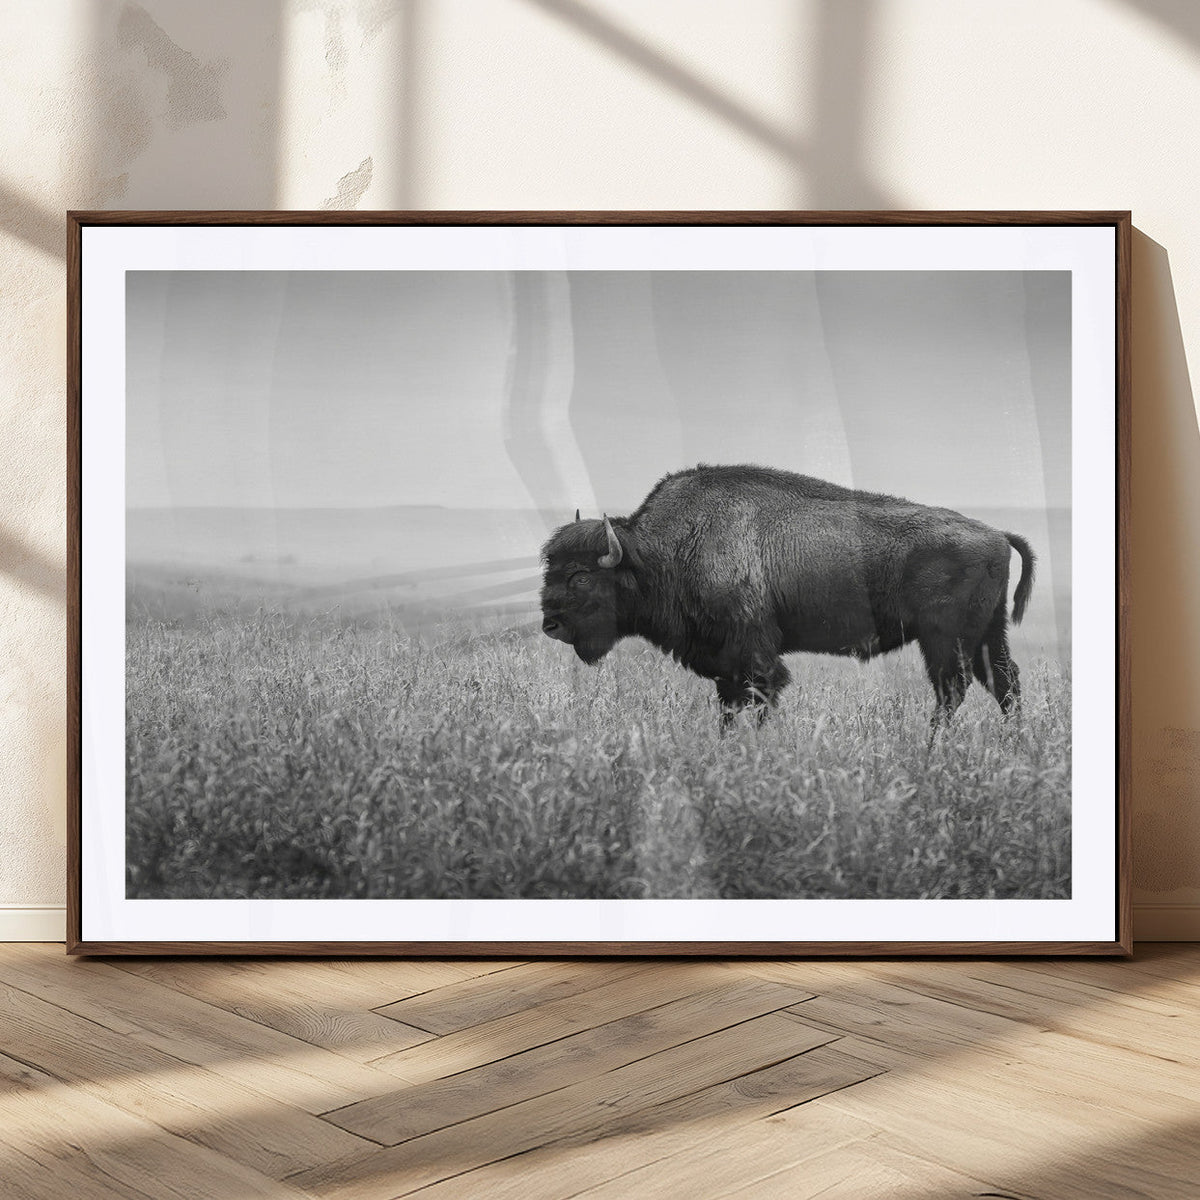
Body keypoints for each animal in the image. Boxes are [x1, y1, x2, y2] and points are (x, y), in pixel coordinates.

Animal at [539, 464, 1035, 727]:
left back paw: (932, 747)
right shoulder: (726, 666)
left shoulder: (755, 657)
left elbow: (760, 699)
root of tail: (996, 533)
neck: (664, 550)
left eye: (581, 576)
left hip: (944, 639)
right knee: (1004, 684)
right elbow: (729, 708)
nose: (550, 624)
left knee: (953, 690)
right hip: (988, 634)